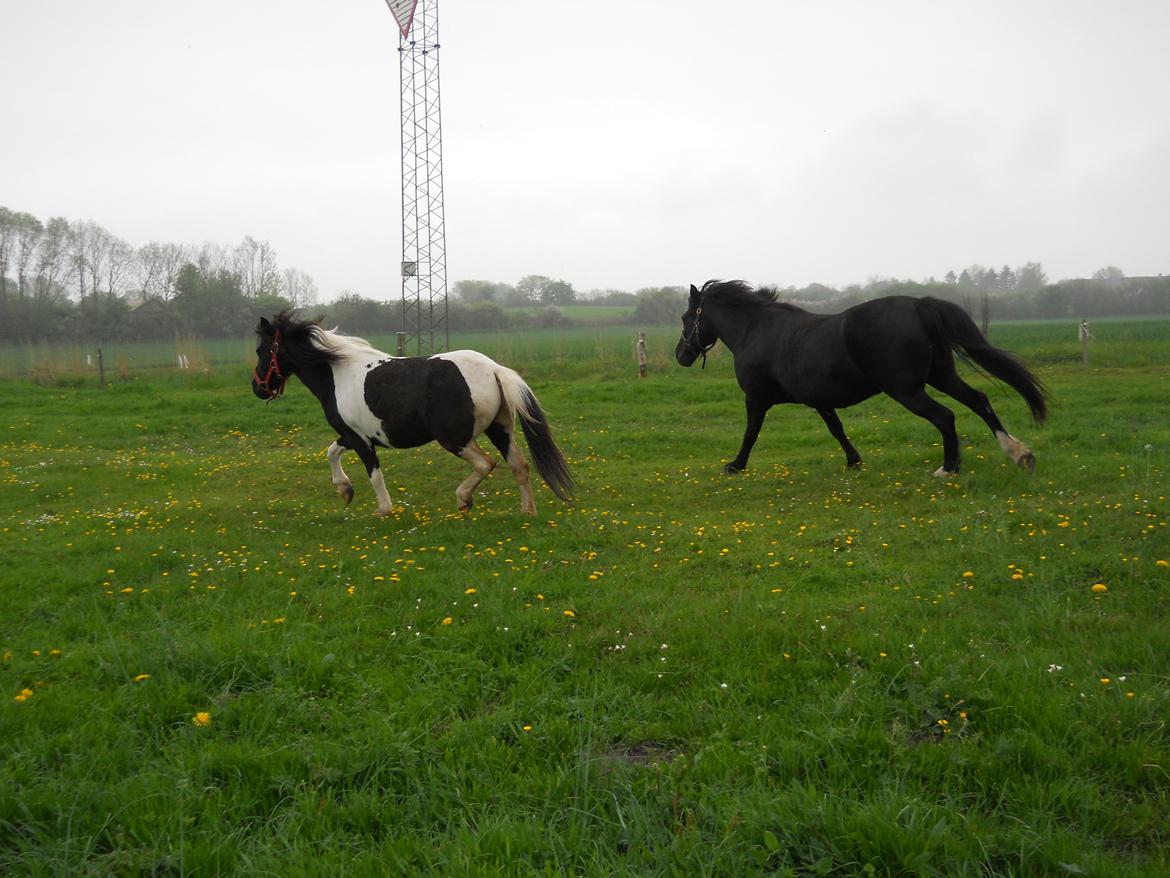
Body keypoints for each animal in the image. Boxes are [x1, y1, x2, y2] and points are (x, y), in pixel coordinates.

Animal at [253, 313, 573, 515]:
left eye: (261, 350)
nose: (258, 388)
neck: (338, 372)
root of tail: (494, 369)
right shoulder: (352, 435)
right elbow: (331, 451)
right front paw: (345, 491)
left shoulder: (359, 439)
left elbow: (374, 473)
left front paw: (382, 510)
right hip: (500, 430)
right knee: (520, 466)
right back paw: (527, 512)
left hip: (454, 439)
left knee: (486, 463)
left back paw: (464, 499)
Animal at [678, 282, 1053, 477]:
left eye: (686, 317)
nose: (681, 355)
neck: (756, 331)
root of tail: (918, 305)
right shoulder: (820, 400)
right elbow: (837, 429)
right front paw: (854, 461)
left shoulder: (756, 397)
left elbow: (751, 433)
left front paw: (735, 465)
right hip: (941, 376)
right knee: (979, 400)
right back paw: (1019, 453)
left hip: (907, 389)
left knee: (945, 416)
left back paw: (948, 468)